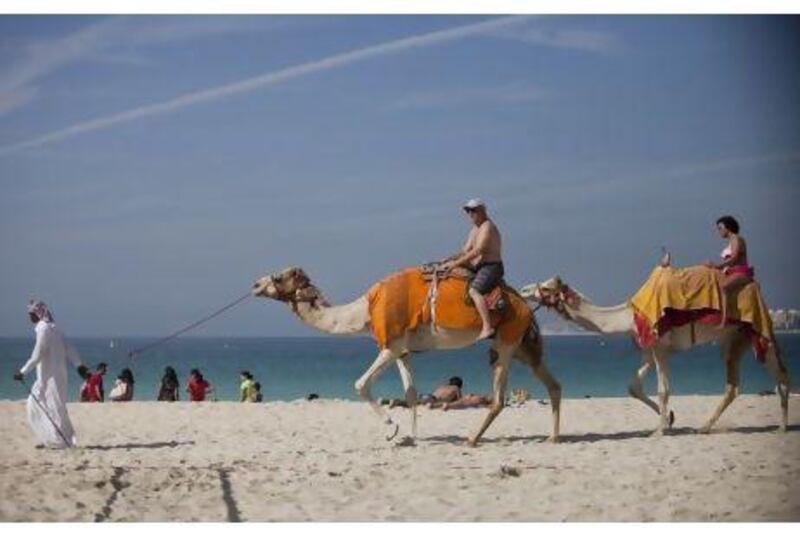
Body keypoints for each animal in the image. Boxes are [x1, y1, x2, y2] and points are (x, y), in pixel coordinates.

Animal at [252, 262, 564, 444]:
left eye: (278, 277)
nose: (255, 284)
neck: (365, 310)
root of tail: (524, 305)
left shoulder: (390, 345)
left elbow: (360, 384)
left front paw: (392, 429)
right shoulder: (402, 349)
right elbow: (411, 393)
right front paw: (414, 438)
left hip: (506, 341)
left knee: (499, 398)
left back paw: (472, 439)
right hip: (523, 345)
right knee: (553, 385)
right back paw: (553, 437)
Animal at [520, 264, 792, 434]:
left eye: (547, 287)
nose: (523, 289)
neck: (628, 315)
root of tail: (756, 288)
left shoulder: (660, 346)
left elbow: (663, 389)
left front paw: (660, 430)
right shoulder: (647, 347)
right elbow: (634, 387)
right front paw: (669, 419)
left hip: (757, 331)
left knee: (780, 374)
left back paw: (782, 427)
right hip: (734, 339)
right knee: (733, 386)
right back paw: (704, 427)